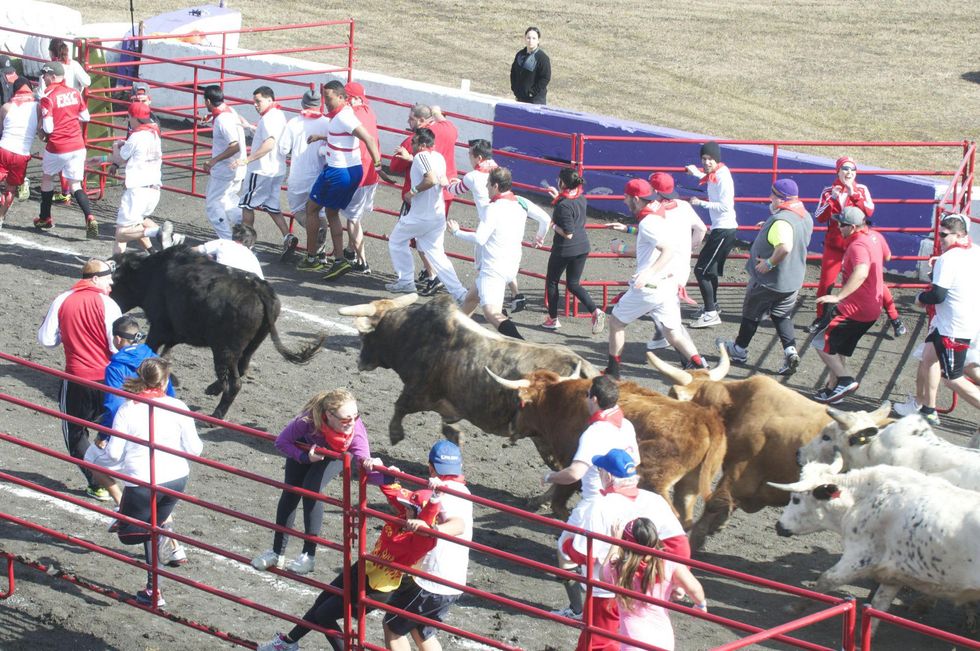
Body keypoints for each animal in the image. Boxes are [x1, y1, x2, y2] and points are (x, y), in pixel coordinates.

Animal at [111, 247, 326, 419]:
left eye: (115, 281)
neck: (151, 273)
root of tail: (260, 288)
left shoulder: (158, 328)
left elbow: (152, 351)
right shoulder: (174, 333)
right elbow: (165, 354)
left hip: (225, 349)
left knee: (235, 383)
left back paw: (217, 414)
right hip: (250, 346)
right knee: (240, 369)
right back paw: (214, 388)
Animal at [337, 294, 597, 445]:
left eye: (365, 336)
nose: (360, 361)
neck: (409, 330)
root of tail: (587, 372)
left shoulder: (417, 389)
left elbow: (400, 406)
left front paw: (395, 434)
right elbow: (448, 424)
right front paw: (456, 436)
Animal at [486, 368, 727, 526]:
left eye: (520, 402)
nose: (511, 427)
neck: (559, 402)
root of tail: (705, 417)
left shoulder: (573, 460)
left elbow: (560, 501)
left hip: (655, 481)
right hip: (689, 485)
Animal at [770, 455, 980, 632]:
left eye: (796, 499)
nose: (778, 526)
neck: (863, 499)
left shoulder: (860, 557)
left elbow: (826, 580)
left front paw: (796, 606)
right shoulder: (894, 573)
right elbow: (878, 606)